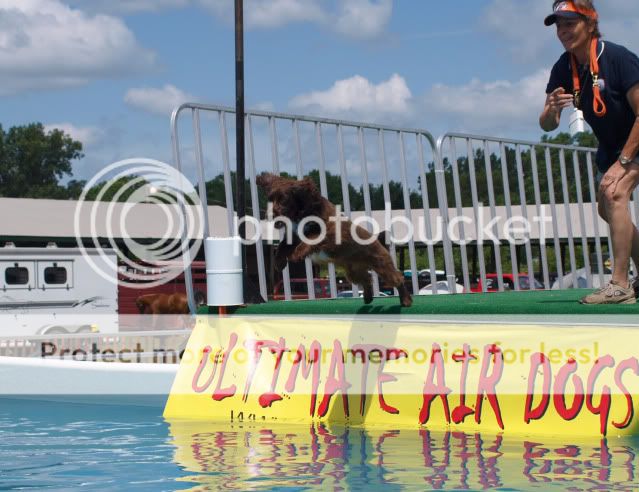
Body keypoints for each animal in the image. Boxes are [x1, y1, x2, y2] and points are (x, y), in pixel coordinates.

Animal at [258, 171, 412, 306]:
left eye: (283, 200)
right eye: (270, 200)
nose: (269, 215)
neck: (302, 213)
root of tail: (377, 240)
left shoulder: (331, 231)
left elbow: (311, 238)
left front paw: (297, 254)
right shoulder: (293, 235)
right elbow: (282, 246)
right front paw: (279, 262)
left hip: (381, 264)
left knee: (397, 278)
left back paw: (406, 301)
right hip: (353, 271)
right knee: (367, 279)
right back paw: (368, 298)